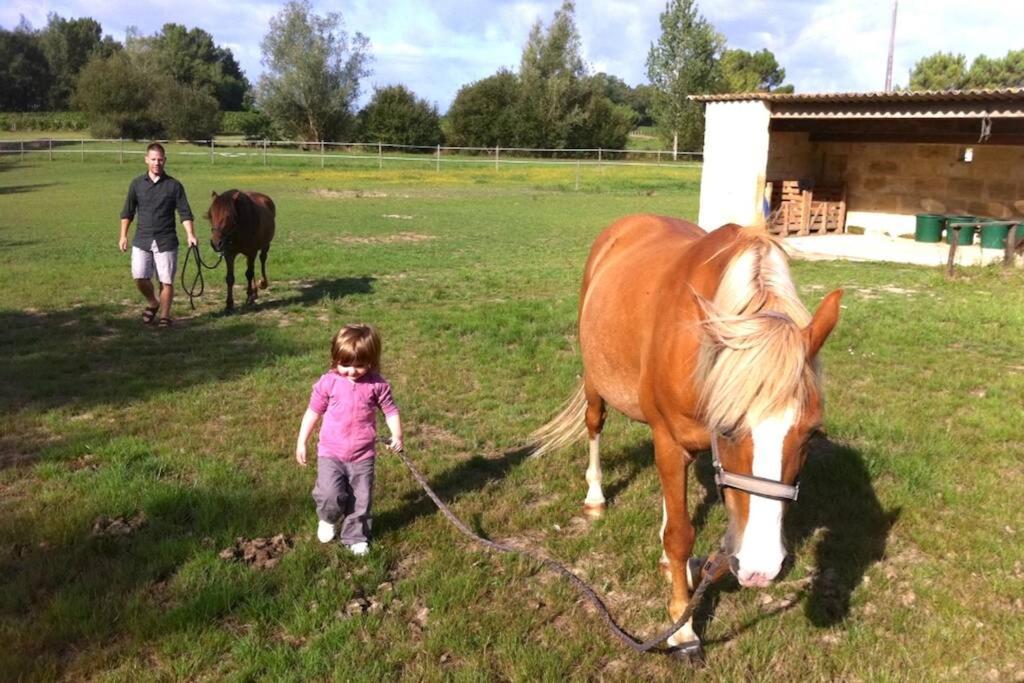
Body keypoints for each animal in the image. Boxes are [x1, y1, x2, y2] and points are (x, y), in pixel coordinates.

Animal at [532, 216, 843, 659]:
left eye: (812, 434)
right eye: (727, 427)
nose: (761, 568)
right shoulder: (672, 438)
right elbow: (680, 535)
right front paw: (682, 627)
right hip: (595, 380)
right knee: (594, 425)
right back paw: (595, 496)